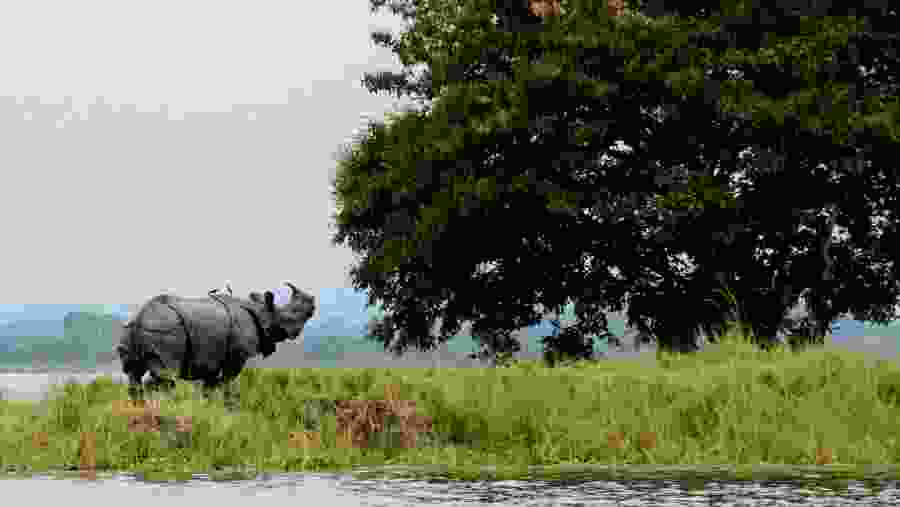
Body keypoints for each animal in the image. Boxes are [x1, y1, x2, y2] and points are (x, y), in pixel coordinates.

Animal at [116, 282, 316, 402]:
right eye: (289, 318)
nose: (313, 308)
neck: (260, 310)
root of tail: (140, 316)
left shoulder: (211, 359)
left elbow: (210, 386)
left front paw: (209, 408)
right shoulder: (237, 356)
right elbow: (227, 381)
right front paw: (229, 405)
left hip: (130, 329)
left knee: (133, 373)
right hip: (165, 329)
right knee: (166, 377)